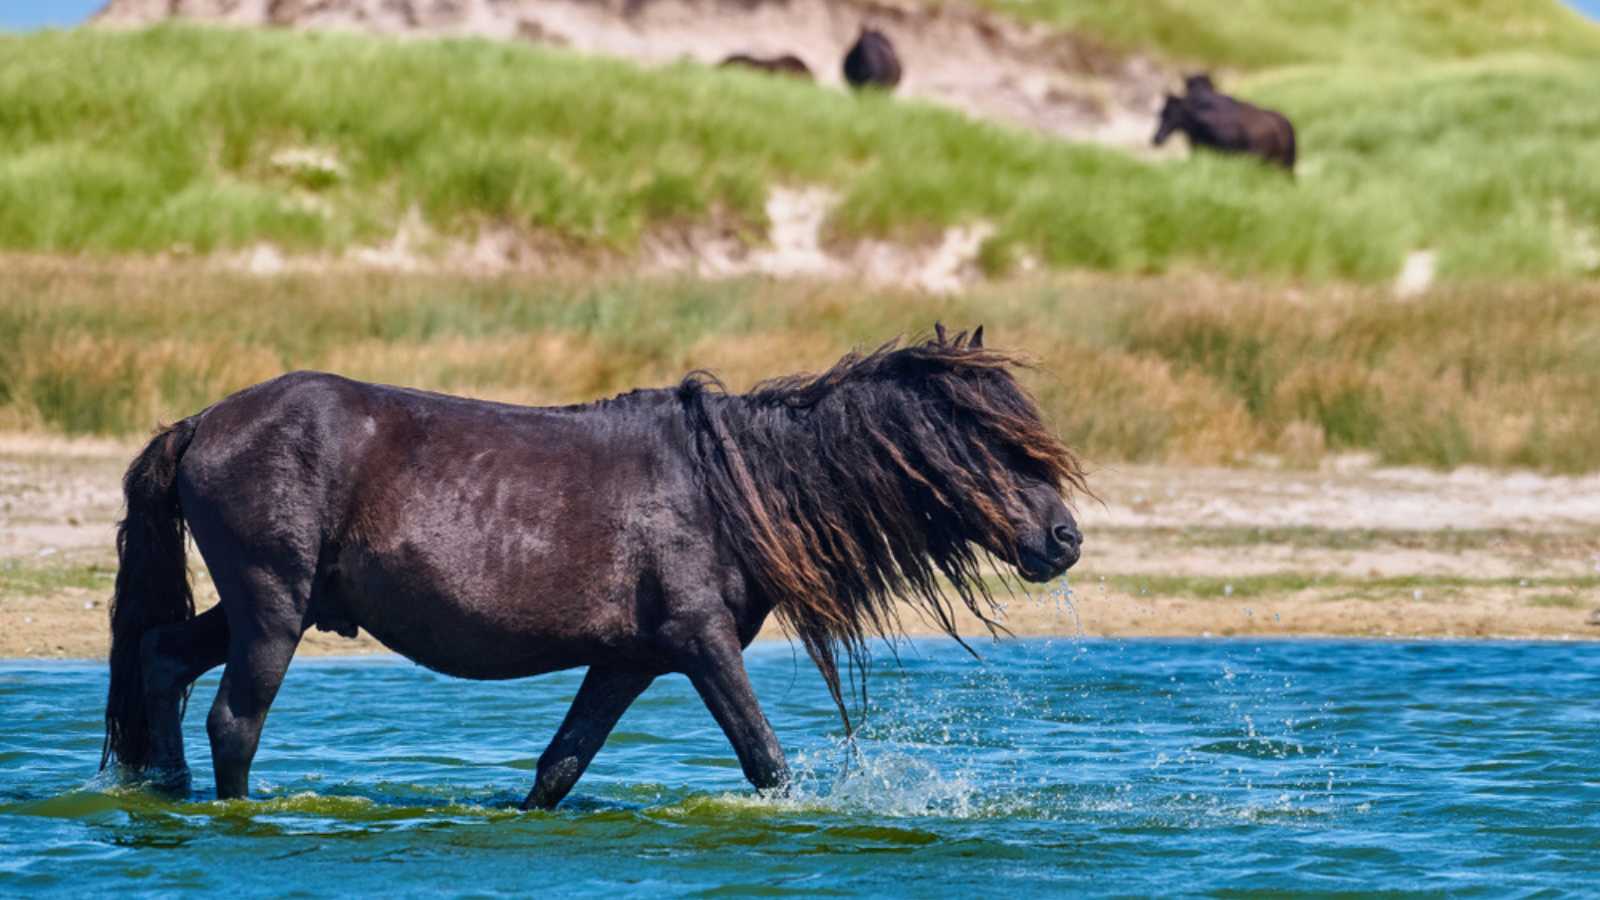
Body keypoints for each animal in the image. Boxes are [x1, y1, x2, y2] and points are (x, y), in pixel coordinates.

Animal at [103, 328, 1088, 807]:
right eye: (993, 442)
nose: (1065, 538)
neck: (729, 487)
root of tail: (202, 422)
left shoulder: (627, 661)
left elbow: (559, 767)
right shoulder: (700, 643)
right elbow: (765, 760)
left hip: (266, 608)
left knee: (160, 659)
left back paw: (164, 795)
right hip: (272, 610)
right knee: (233, 721)